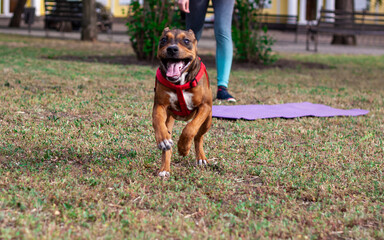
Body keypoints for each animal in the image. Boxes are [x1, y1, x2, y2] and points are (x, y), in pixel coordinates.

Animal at [152, 28, 213, 177]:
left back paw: (201, 158)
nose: (172, 49)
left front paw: (183, 147)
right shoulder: (160, 105)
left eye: (186, 40)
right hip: (169, 119)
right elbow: (157, 120)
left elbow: (190, 128)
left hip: (208, 120)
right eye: (163, 40)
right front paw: (163, 140)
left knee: (199, 136)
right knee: (167, 147)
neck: (179, 82)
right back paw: (164, 169)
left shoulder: (204, 106)